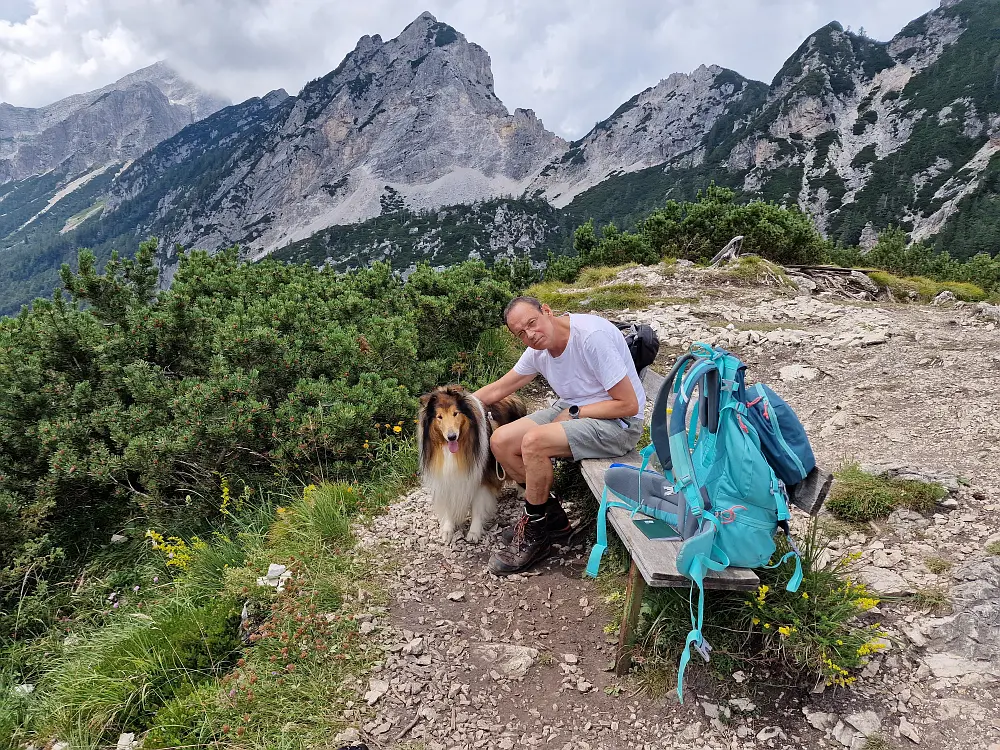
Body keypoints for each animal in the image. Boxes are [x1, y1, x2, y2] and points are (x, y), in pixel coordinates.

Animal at [418, 390, 532, 544]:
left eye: (455, 413)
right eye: (439, 417)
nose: (452, 437)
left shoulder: (481, 478)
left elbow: (478, 507)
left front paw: (474, 532)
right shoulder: (444, 477)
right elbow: (448, 505)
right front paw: (447, 530)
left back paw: (522, 492)